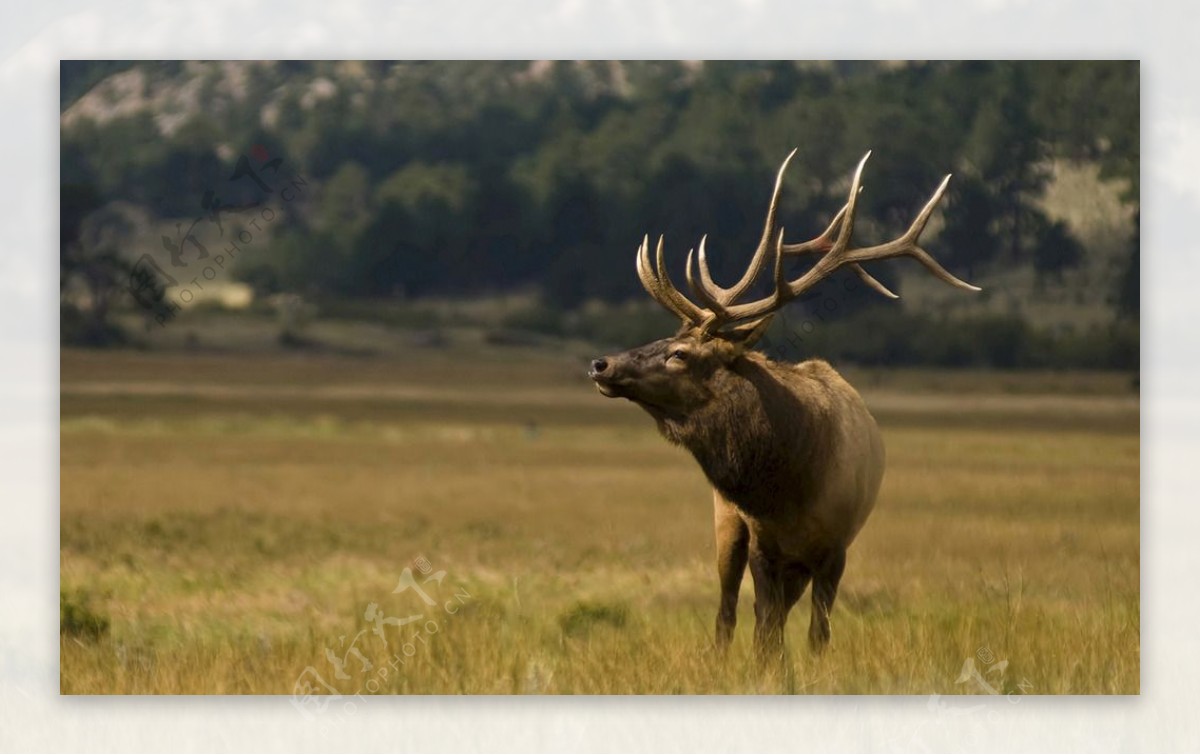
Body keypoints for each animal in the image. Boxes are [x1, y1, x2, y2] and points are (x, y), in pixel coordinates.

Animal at [585, 150, 979, 657]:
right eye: (667, 338)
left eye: (680, 353)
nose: (601, 364)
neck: (789, 487)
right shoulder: (762, 543)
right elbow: (765, 632)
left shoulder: (835, 548)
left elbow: (816, 635)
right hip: (726, 523)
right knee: (728, 612)